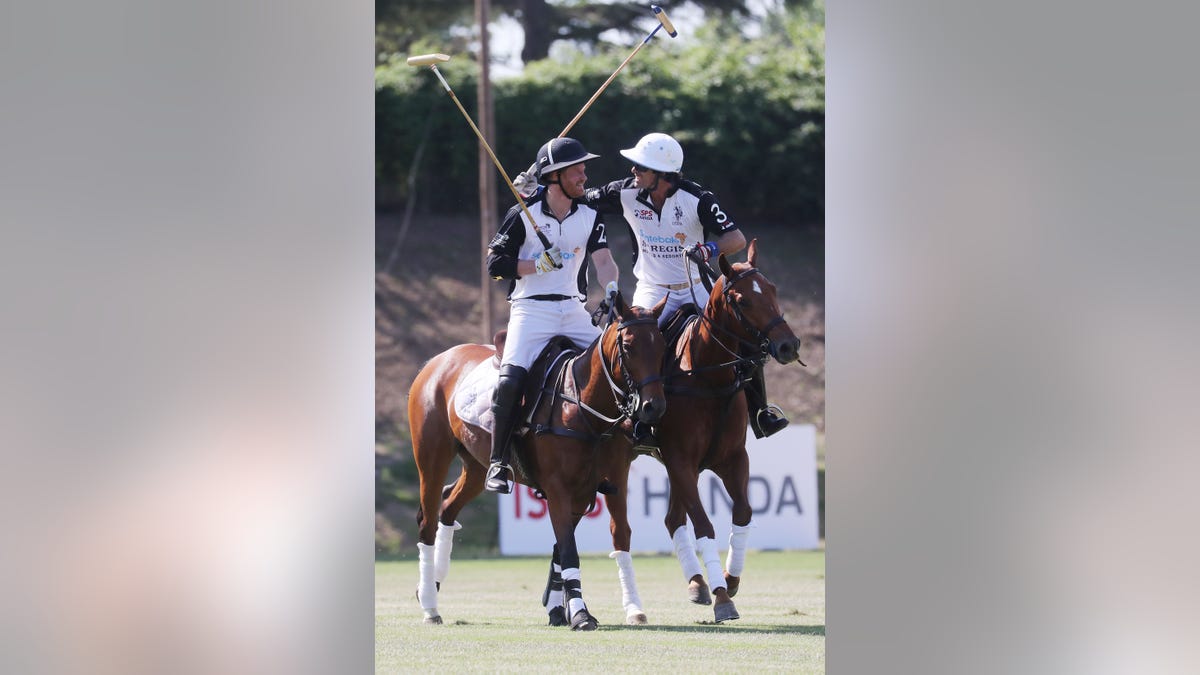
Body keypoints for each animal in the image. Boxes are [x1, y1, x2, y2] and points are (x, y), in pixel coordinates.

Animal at [410, 291, 672, 629]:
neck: (582, 406)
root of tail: (435, 362)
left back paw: (432, 584)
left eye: (662, 345)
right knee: (428, 519)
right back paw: (430, 605)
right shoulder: (559, 489)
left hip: (476, 466)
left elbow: (563, 549)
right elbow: (569, 551)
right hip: (432, 457)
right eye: (628, 346)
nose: (654, 407)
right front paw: (580, 614)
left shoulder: (589, 490)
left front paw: (562, 610)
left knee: (448, 507)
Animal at [652, 239, 801, 624]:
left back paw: (696, 583)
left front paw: (730, 581)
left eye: (773, 290)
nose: (789, 345)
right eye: (742, 300)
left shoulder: (732, 458)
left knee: (672, 518)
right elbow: (704, 526)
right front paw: (722, 598)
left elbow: (744, 513)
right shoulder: (680, 459)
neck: (708, 376)